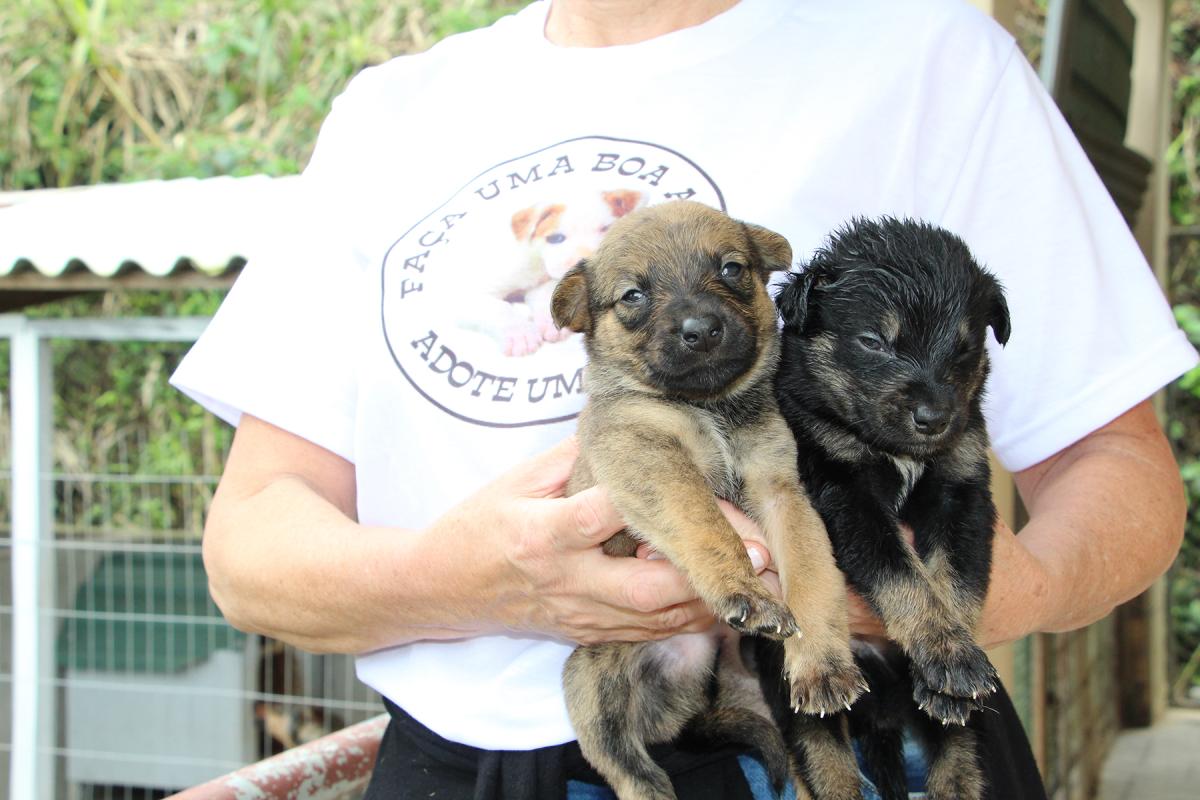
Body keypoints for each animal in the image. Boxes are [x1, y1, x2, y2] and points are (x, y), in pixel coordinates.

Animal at [552, 201, 864, 800]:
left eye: (731, 269)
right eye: (633, 295)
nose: (701, 330)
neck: (708, 406)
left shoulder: (780, 491)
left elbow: (813, 575)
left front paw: (821, 662)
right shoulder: (651, 458)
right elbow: (705, 523)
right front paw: (744, 591)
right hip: (590, 687)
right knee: (631, 768)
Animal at [763, 217, 1008, 800]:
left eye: (964, 349)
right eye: (874, 342)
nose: (934, 418)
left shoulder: (963, 490)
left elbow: (954, 581)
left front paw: (951, 666)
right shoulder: (844, 495)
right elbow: (903, 575)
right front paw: (947, 651)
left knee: (959, 746)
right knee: (822, 747)